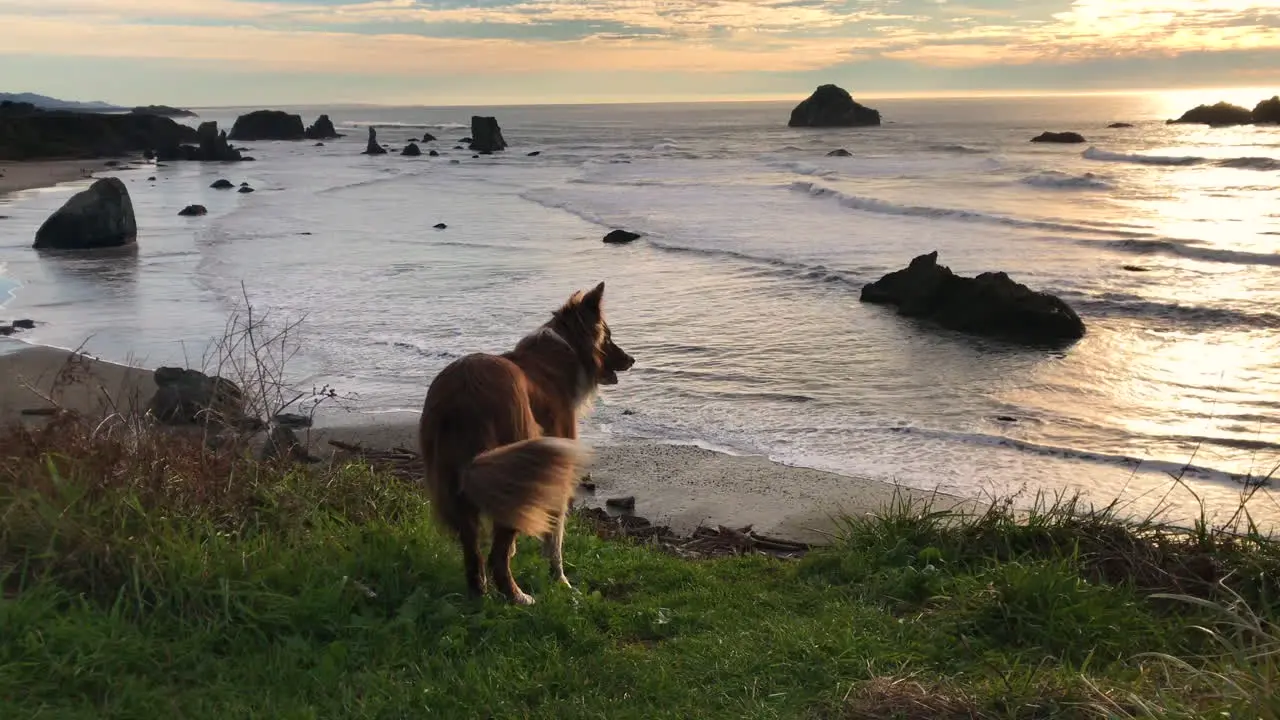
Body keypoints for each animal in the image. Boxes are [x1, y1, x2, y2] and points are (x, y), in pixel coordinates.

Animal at [419, 280, 634, 599]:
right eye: (608, 336)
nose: (632, 360)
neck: (564, 354)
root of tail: (462, 393)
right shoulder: (558, 463)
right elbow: (555, 535)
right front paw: (561, 581)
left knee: (473, 549)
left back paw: (479, 595)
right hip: (518, 466)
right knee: (495, 554)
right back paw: (518, 597)